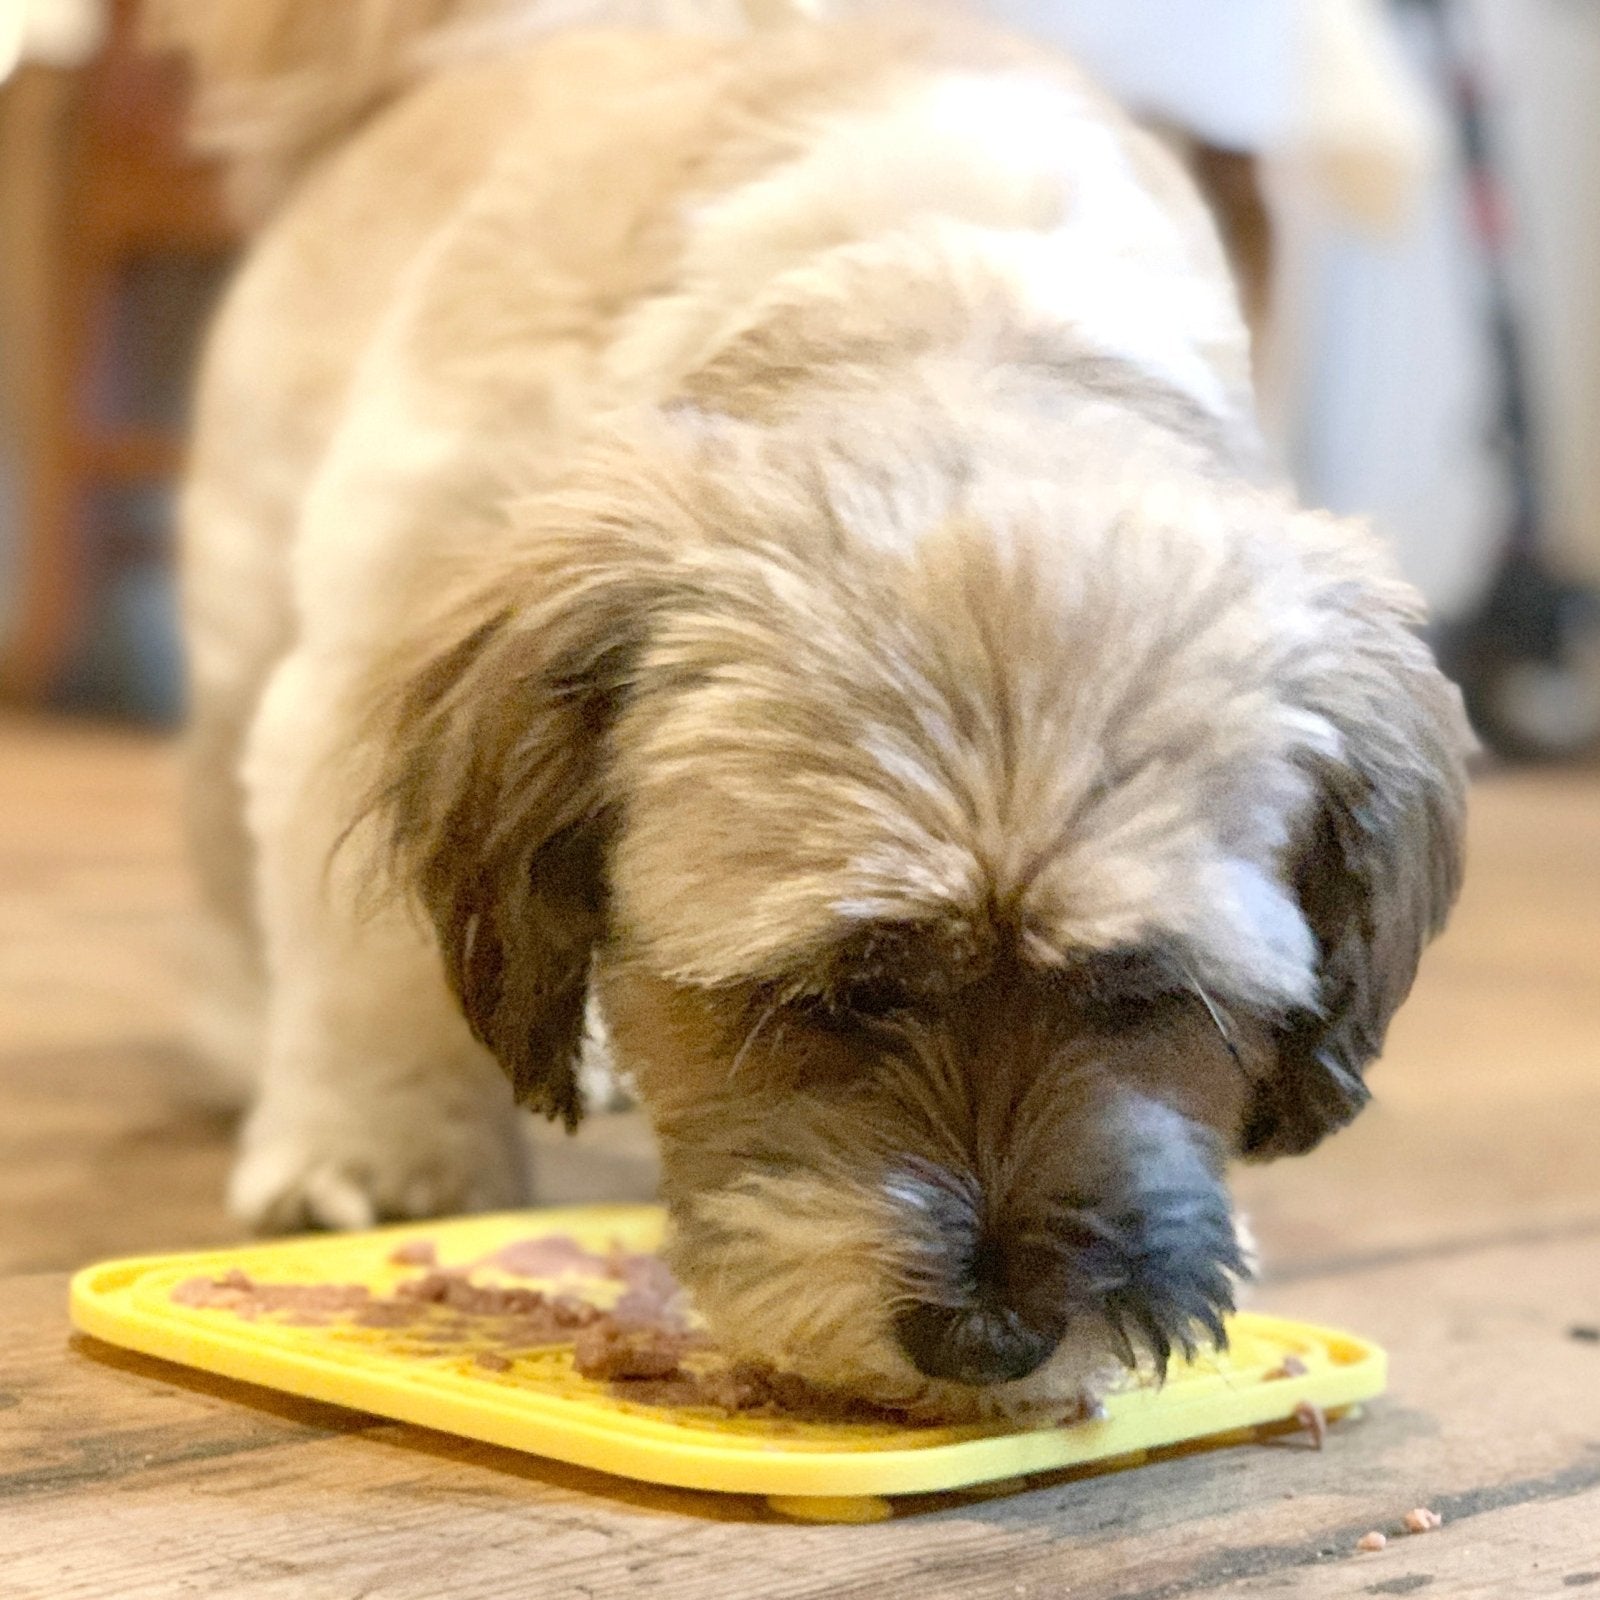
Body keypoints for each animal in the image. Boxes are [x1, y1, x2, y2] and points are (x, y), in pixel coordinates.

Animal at [156, 0, 1465, 1414]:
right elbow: (371, 968)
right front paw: (380, 1142)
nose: (991, 1335)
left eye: (1146, 1001)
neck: (950, 315)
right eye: (837, 997)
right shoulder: (368, 664)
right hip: (247, 617)